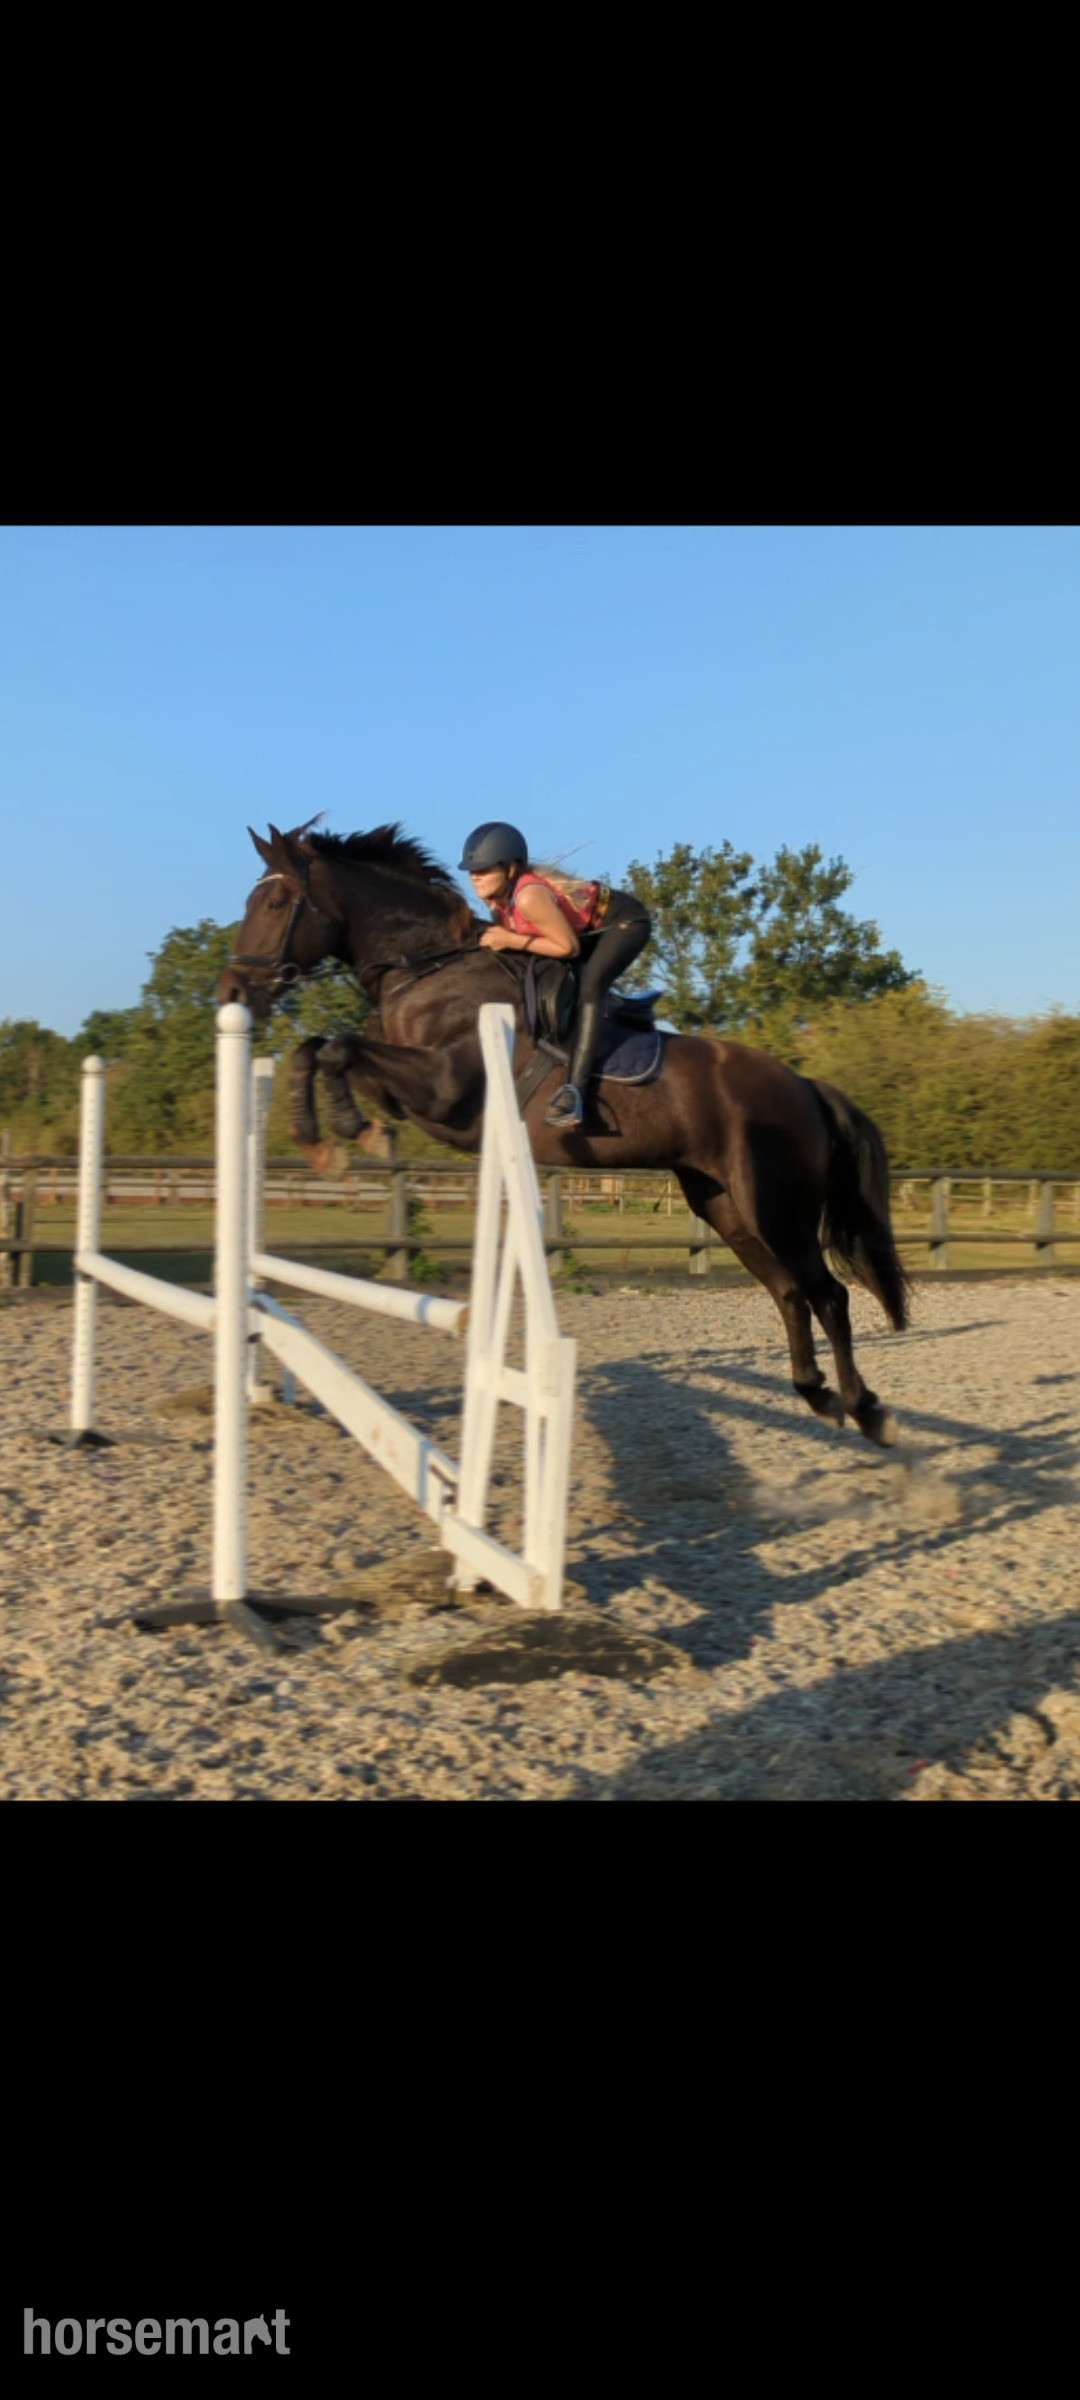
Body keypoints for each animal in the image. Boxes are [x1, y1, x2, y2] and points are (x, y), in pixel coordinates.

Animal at [216, 821, 911, 1444]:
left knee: (829, 1296)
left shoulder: (441, 1088)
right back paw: (817, 1394)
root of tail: (805, 1087)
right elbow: (316, 1049)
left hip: (777, 1206)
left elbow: (336, 1049)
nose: (232, 991)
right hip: (724, 1205)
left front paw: (343, 1134)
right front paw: (325, 1137)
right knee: (791, 1293)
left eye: (275, 903)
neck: (426, 969)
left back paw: (866, 1409)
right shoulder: (408, 1090)